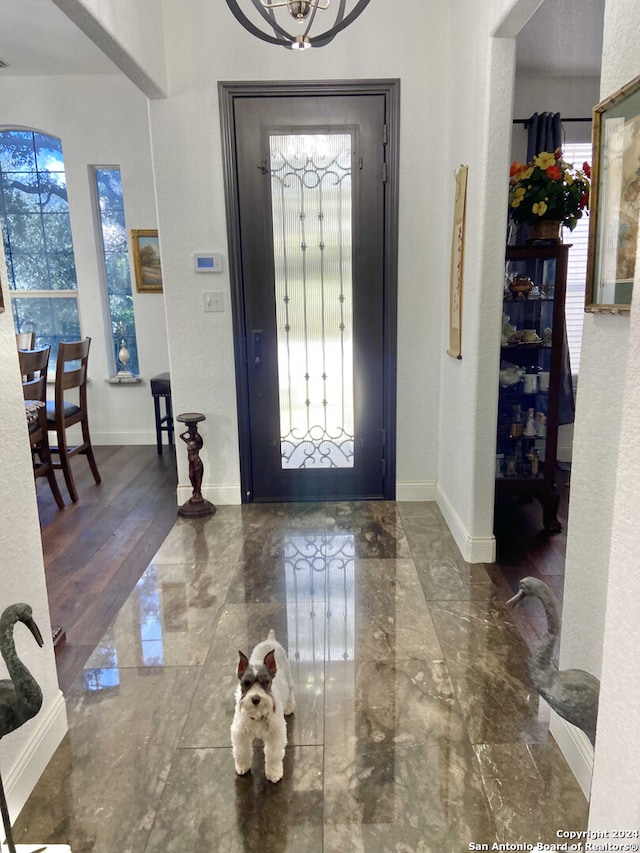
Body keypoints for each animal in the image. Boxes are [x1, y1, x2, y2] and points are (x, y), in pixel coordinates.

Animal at [230, 628, 296, 784]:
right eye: (246, 683)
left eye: (266, 682)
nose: (256, 698)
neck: (257, 714)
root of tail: (270, 639)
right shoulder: (240, 734)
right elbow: (241, 752)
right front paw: (242, 766)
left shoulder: (275, 735)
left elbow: (273, 756)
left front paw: (274, 773)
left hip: (288, 678)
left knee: (291, 692)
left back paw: (289, 708)